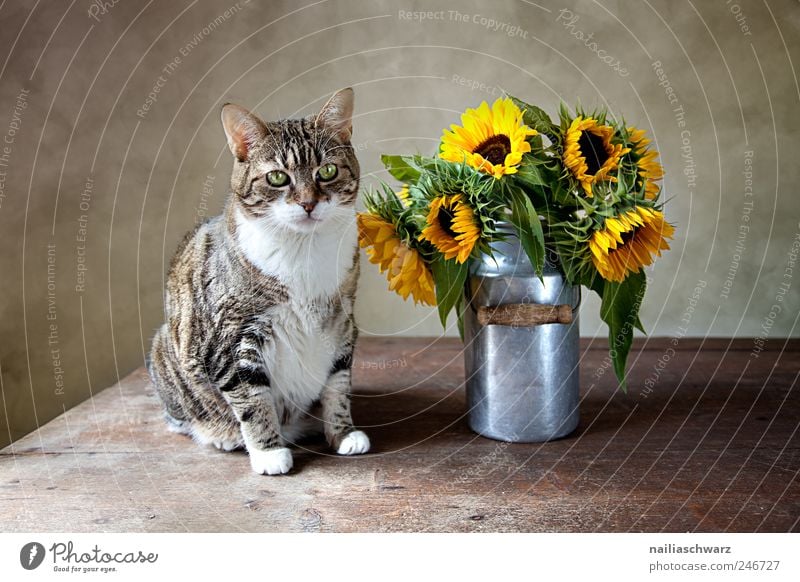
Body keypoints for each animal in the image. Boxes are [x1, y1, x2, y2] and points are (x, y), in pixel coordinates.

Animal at [148, 89, 370, 476]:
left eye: (327, 171)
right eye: (278, 177)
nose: (308, 203)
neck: (303, 250)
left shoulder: (343, 321)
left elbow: (338, 384)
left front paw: (343, 433)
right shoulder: (233, 336)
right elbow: (252, 399)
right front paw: (269, 452)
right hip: (166, 351)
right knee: (182, 418)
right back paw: (222, 435)